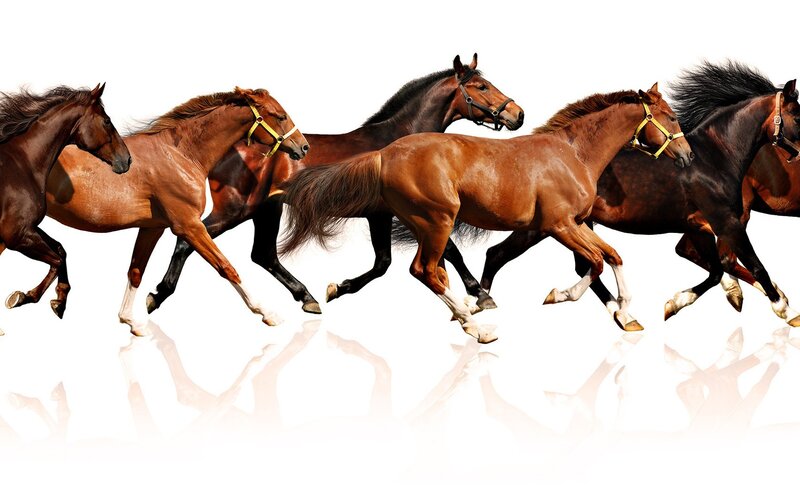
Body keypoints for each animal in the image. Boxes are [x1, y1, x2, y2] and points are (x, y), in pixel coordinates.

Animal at [0, 84, 130, 335]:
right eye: (107, 121)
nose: (127, 160)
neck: (21, 164)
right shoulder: (17, 236)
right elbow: (57, 260)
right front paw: (25, 297)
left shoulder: (27, 230)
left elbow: (61, 250)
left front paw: (57, 301)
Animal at [43, 87, 309, 335]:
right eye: (281, 115)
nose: (303, 147)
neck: (181, 155)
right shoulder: (189, 225)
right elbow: (227, 267)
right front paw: (268, 313)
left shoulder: (152, 228)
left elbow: (136, 271)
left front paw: (131, 321)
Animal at [145, 54, 524, 316]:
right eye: (481, 87)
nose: (517, 114)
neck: (398, 141)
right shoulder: (399, 214)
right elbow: (438, 254)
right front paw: (480, 294)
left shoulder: (386, 216)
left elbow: (388, 261)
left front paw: (336, 289)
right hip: (239, 209)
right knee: (190, 241)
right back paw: (156, 296)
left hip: (266, 209)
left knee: (262, 254)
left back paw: (307, 298)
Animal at [281, 83, 692, 343]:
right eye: (671, 117)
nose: (687, 155)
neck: (573, 154)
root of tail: (384, 154)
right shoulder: (558, 225)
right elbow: (595, 263)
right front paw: (557, 295)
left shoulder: (575, 224)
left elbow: (613, 256)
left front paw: (627, 316)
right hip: (436, 221)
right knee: (424, 271)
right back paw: (477, 328)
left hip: (423, 224)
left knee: (432, 271)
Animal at [476, 62, 800, 327]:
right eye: (798, 116)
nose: (798, 155)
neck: (715, 158)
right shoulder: (726, 223)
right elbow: (751, 264)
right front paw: (785, 309)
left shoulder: (702, 228)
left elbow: (717, 270)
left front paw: (674, 303)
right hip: (543, 227)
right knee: (497, 254)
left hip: (576, 224)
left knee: (582, 264)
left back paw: (623, 316)